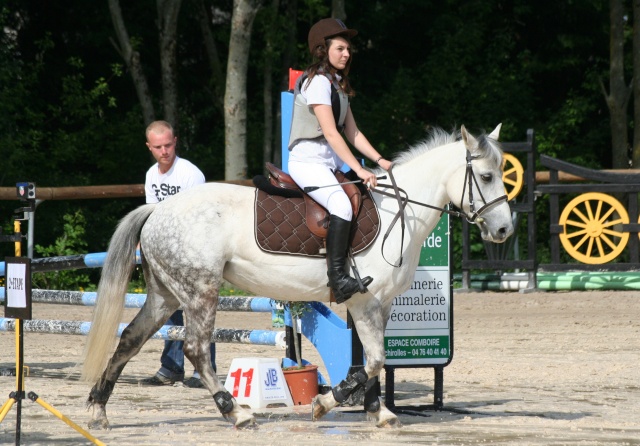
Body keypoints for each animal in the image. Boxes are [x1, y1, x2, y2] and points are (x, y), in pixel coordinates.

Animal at [80, 123, 512, 430]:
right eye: (486, 177)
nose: (505, 230)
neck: (399, 211)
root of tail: (158, 209)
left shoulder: (383, 303)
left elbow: (371, 361)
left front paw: (378, 411)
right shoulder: (364, 300)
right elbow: (373, 360)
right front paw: (326, 402)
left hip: (166, 294)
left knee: (130, 338)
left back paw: (99, 410)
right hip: (200, 292)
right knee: (196, 349)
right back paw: (235, 412)